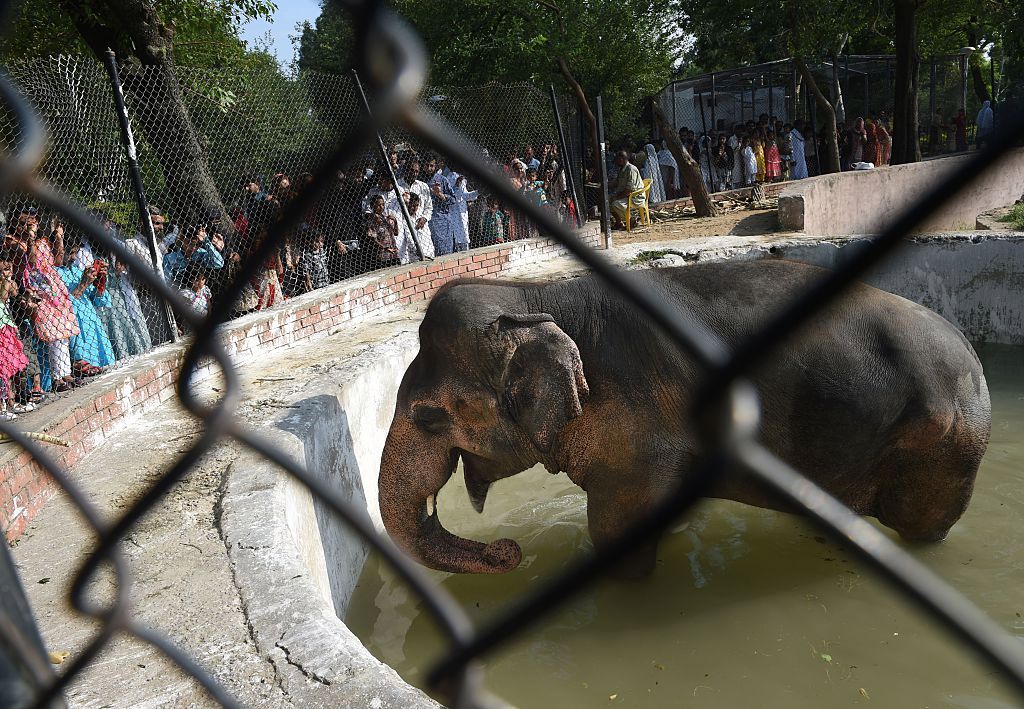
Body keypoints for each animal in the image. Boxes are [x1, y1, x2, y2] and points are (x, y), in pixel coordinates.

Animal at [378, 259, 991, 577]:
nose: (507, 550)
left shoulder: (637, 436)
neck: (535, 297)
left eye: (428, 417)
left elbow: (614, 529)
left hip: (944, 450)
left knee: (923, 525)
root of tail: (970, 350)